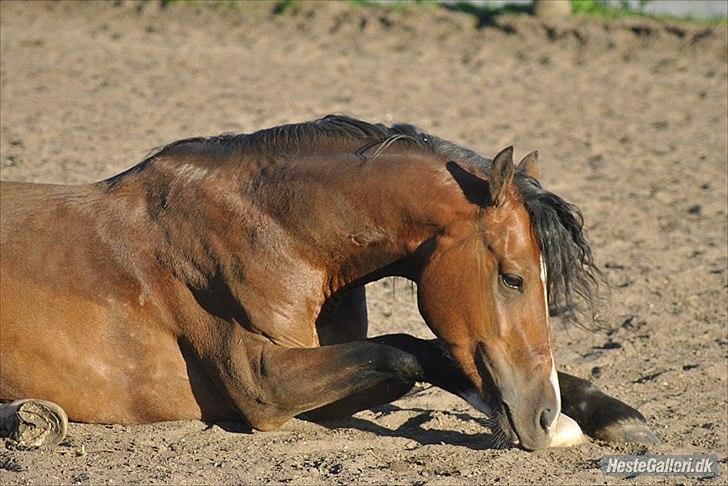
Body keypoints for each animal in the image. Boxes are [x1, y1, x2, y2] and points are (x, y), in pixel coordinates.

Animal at [0, 116, 660, 450]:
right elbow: (408, 354)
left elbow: (432, 356)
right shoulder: (265, 388)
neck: (271, 230)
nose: (541, 415)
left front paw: (605, 415)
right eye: (513, 278)